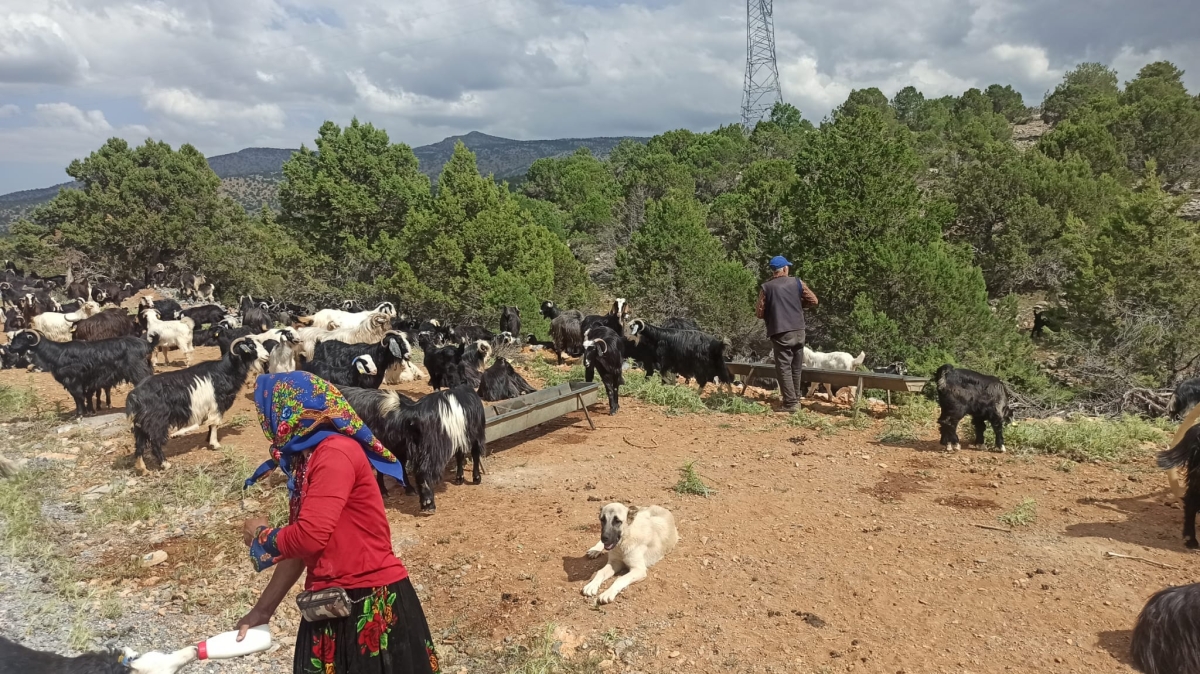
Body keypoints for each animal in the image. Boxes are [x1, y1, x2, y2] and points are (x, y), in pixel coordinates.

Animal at [125, 335, 268, 472]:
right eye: (251, 346)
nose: (266, 356)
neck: (225, 371)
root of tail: (134, 396)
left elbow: (210, 425)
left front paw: (208, 439)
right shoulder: (217, 404)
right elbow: (214, 424)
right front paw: (215, 444)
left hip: (140, 424)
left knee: (139, 444)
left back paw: (142, 468)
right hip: (156, 421)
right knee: (155, 442)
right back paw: (165, 464)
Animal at [338, 383, 487, 508]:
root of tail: (412, 411)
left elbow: (460, 455)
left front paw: (459, 478)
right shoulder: (475, 435)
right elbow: (474, 454)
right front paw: (476, 478)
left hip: (393, 444)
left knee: (387, 465)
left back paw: (394, 490)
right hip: (431, 447)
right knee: (423, 471)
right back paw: (427, 503)